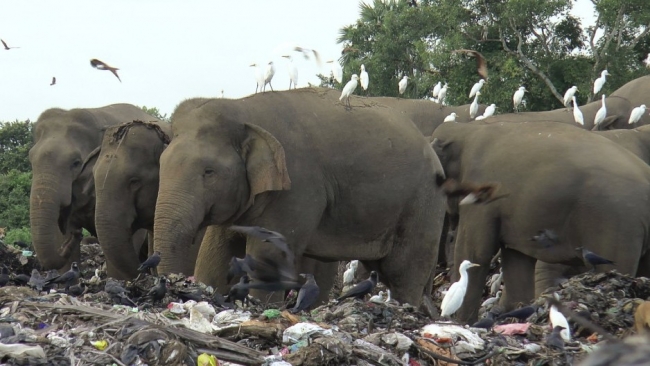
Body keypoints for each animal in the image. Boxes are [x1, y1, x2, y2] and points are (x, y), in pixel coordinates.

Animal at [152, 86, 446, 306]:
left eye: (209, 172)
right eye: (161, 163)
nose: (170, 287)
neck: (243, 108)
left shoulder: (296, 187)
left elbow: (269, 254)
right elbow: (217, 253)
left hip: (424, 204)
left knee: (403, 272)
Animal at [432, 121, 650, 324]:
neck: (465, 129)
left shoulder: (481, 196)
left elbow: (475, 252)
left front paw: (462, 322)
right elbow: (516, 259)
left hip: (615, 224)